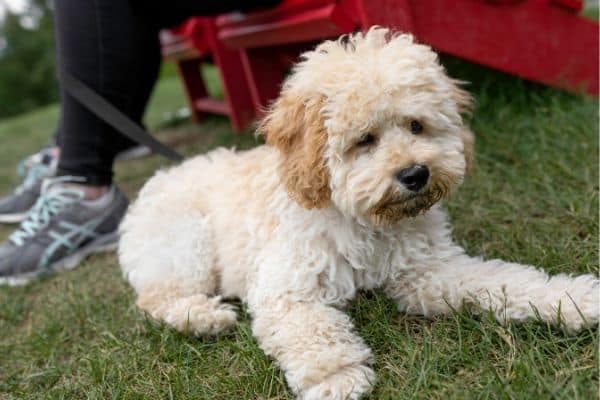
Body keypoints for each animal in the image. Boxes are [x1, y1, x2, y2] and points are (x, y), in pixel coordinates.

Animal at [118, 28, 600, 400]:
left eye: (416, 126)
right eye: (364, 140)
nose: (415, 174)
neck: (368, 222)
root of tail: (160, 178)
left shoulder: (427, 271)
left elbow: (501, 281)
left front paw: (569, 299)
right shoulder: (286, 285)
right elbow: (311, 326)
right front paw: (339, 376)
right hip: (184, 245)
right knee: (157, 297)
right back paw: (206, 318)